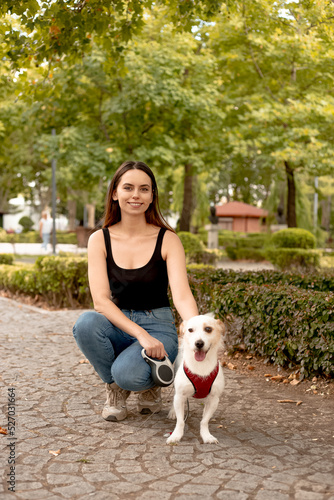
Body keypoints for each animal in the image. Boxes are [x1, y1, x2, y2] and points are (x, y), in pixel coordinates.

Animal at [166, 314, 226, 444]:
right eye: (190, 330)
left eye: (208, 329)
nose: (199, 343)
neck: (201, 366)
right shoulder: (180, 396)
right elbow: (180, 421)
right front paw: (176, 435)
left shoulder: (214, 399)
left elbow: (204, 421)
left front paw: (206, 436)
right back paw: (173, 411)